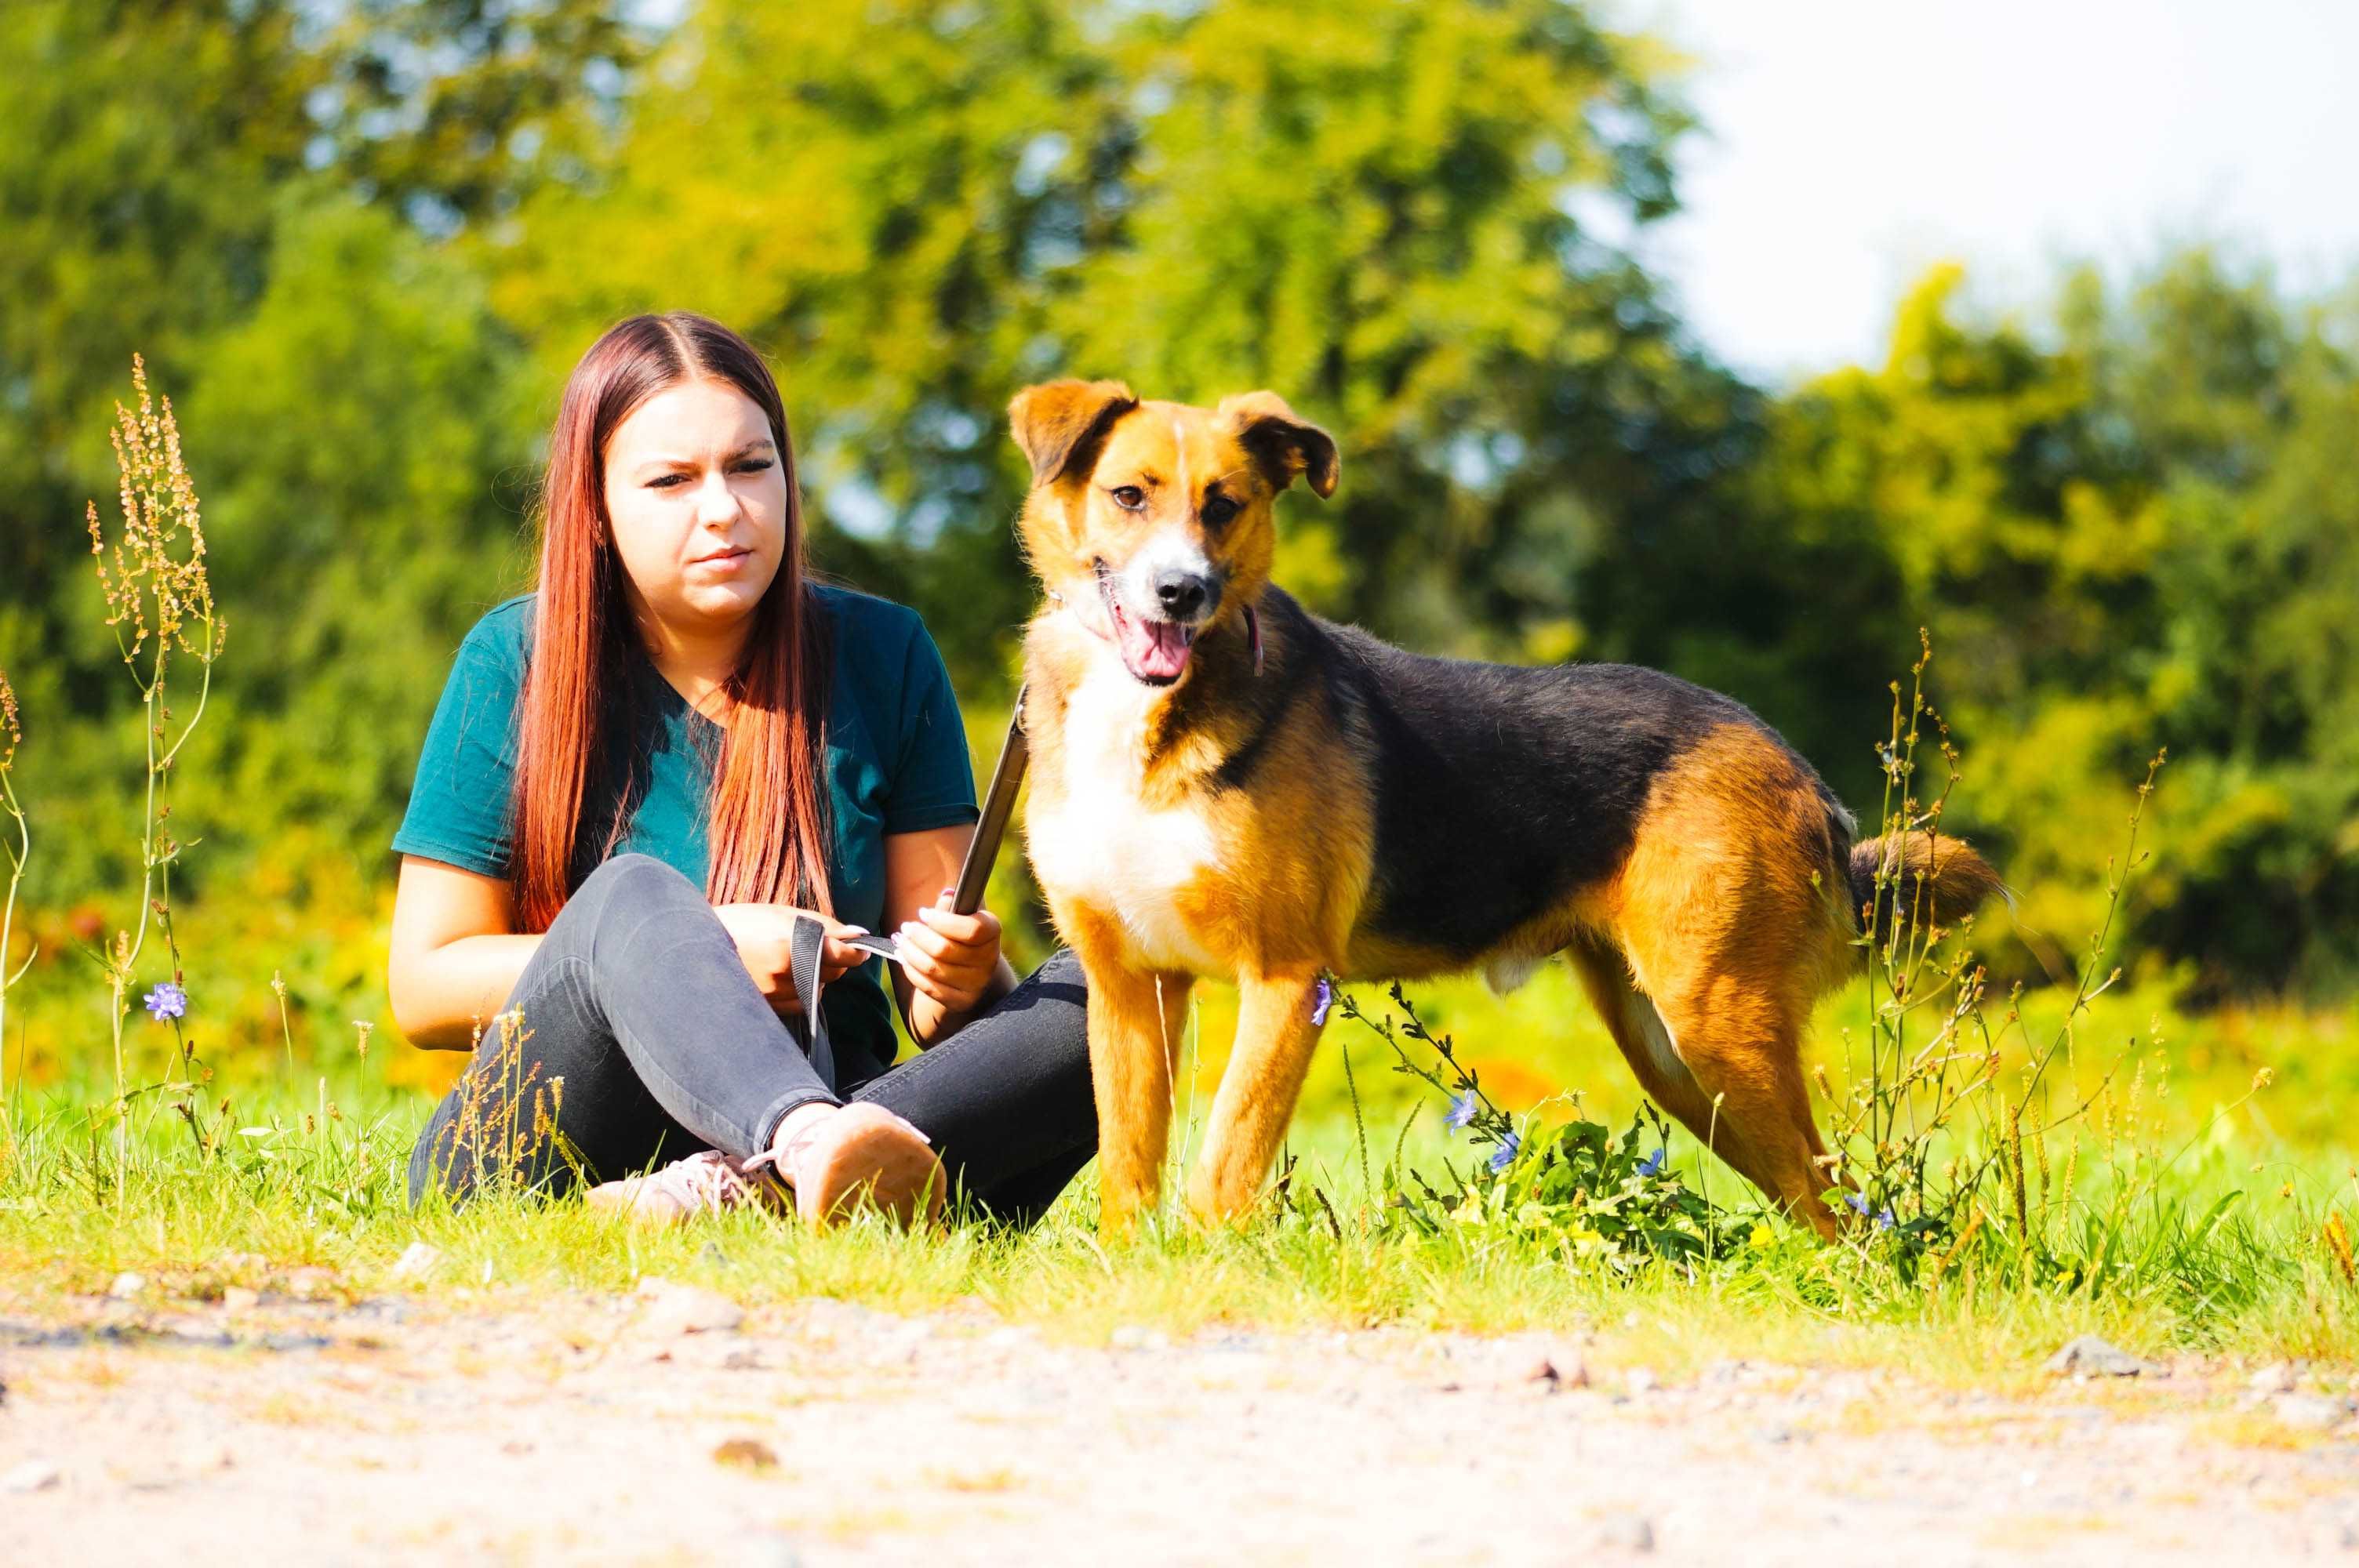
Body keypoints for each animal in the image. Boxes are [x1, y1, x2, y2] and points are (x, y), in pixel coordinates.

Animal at [1005, 379, 2000, 1235]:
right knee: (1811, 1193)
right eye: (1128, 495)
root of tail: (1795, 768)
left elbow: (1222, 1167)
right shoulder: (1128, 986)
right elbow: (1128, 1167)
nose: (1182, 593)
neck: (1140, 710)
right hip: (1680, 1058)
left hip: (1717, 1025)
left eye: (1223, 504)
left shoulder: (1282, 979)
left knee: (1833, 1199)